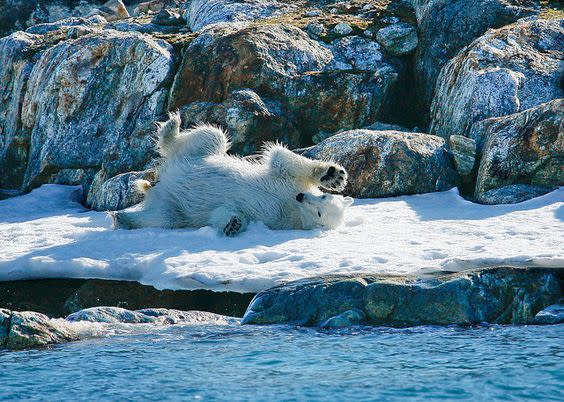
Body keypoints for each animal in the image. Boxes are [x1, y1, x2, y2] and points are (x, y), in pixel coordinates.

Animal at [110, 112, 352, 236]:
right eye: (323, 196)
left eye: (320, 213)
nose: (300, 197)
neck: (293, 206)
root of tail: (159, 184)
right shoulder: (288, 183)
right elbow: (282, 160)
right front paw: (333, 175)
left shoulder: (274, 218)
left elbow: (224, 212)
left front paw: (233, 225)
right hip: (198, 155)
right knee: (211, 135)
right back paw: (173, 125)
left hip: (171, 203)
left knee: (165, 217)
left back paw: (121, 218)